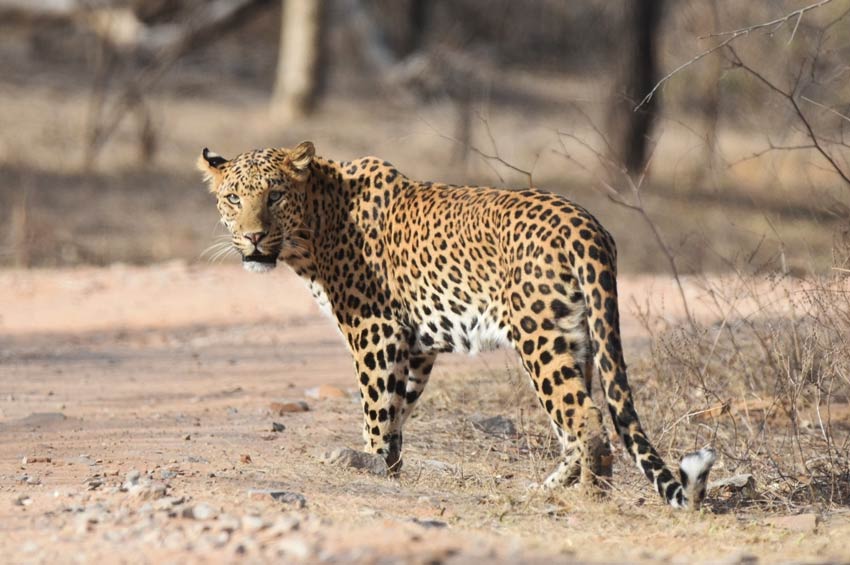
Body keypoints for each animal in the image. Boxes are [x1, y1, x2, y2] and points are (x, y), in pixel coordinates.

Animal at [199, 140, 716, 506]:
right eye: (233, 198)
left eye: (275, 195)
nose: (254, 236)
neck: (313, 227)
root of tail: (586, 224)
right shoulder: (416, 346)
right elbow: (397, 411)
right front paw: (389, 468)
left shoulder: (374, 328)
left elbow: (375, 409)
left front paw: (367, 463)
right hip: (579, 337)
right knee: (576, 422)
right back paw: (549, 490)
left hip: (538, 336)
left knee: (585, 417)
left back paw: (593, 497)